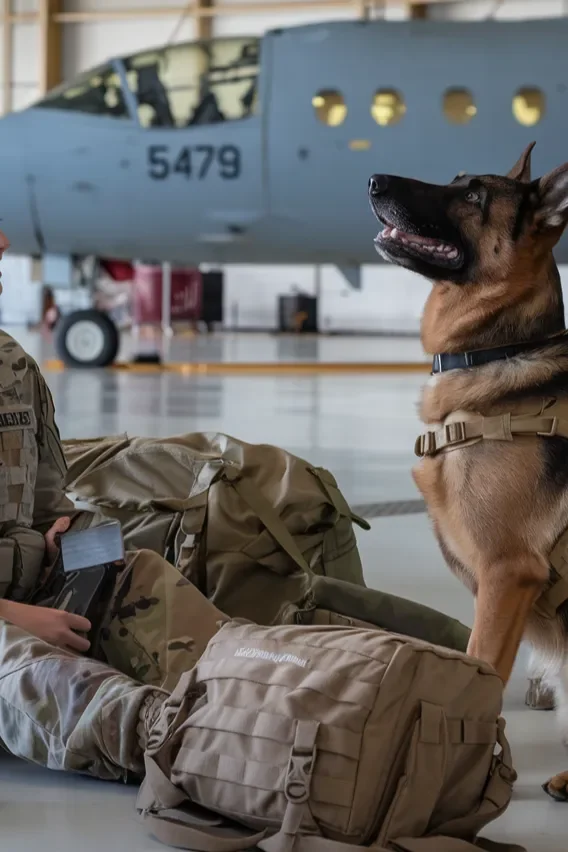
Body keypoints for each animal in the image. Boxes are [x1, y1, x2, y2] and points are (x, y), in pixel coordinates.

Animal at [368, 141, 568, 800]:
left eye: (475, 196)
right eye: (455, 178)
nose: (374, 179)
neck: (499, 350)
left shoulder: (507, 575)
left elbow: (479, 675)